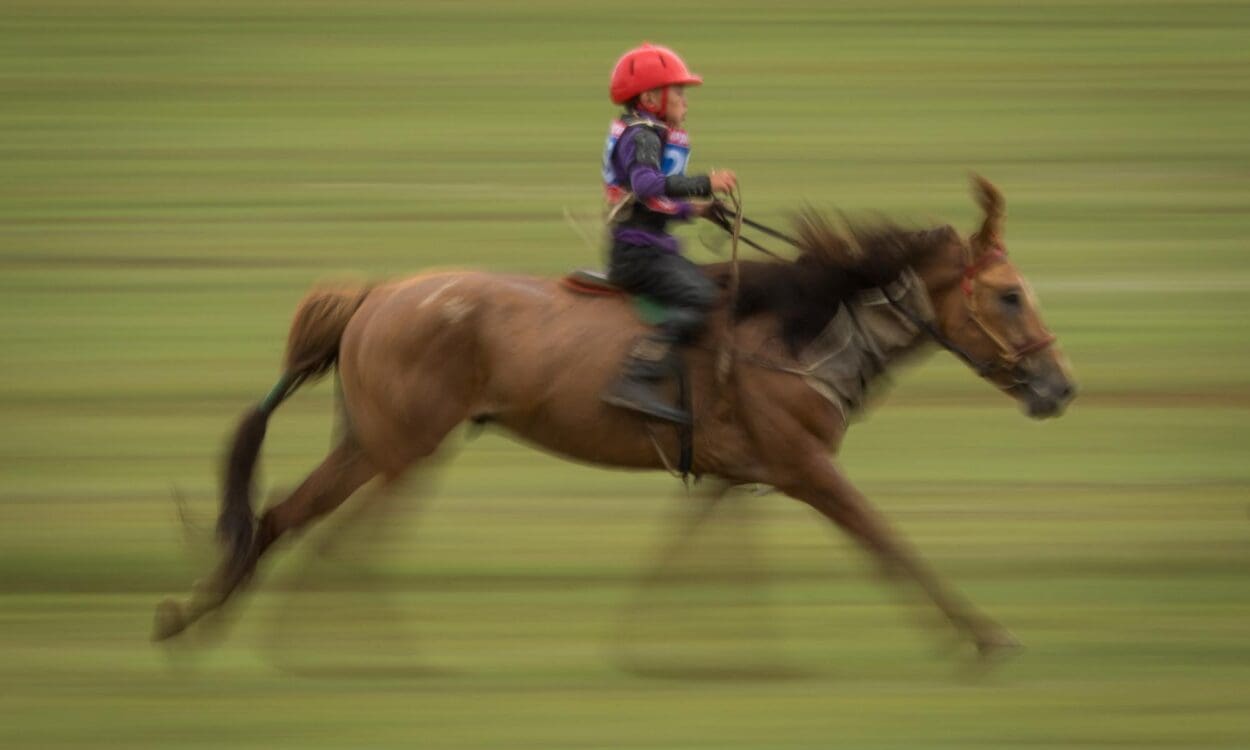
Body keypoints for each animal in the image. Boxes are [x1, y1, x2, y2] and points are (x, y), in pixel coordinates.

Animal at [153, 176, 1076, 659]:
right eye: (1009, 293)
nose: (1060, 387)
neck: (803, 329)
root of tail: (377, 294)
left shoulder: (739, 473)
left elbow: (689, 550)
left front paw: (664, 645)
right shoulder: (808, 469)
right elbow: (888, 541)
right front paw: (983, 635)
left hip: (375, 444)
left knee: (283, 517)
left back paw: (197, 620)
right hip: (404, 448)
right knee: (334, 536)